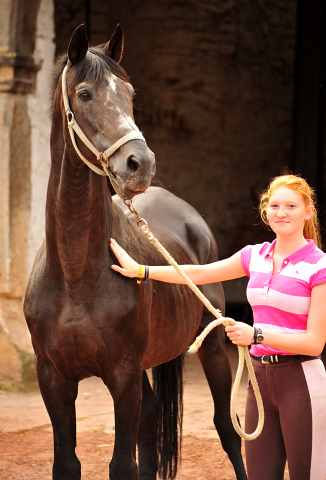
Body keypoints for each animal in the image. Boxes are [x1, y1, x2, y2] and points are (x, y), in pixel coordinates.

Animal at [23, 24, 247, 480]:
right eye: (85, 93)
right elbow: (67, 462)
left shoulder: (122, 374)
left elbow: (123, 463)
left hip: (214, 347)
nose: (139, 163)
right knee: (152, 418)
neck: (74, 274)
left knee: (227, 428)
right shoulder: (53, 379)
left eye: (129, 93)